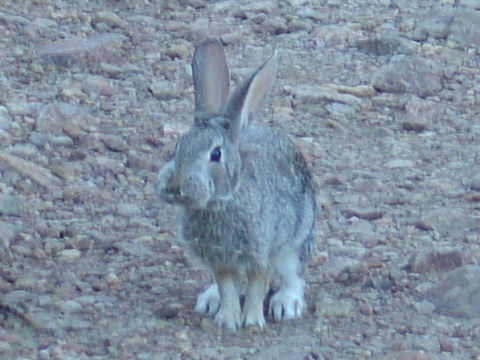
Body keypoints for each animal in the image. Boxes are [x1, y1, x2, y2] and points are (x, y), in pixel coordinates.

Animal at [156, 38, 316, 330]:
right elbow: (228, 287)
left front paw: (252, 321)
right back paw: (210, 300)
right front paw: (227, 319)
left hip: (295, 242)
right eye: (178, 146)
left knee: (293, 276)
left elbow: (257, 286)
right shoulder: (219, 259)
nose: (173, 188)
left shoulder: (260, 251)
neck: (222, 201)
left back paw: (286, 304)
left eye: (216, 154)